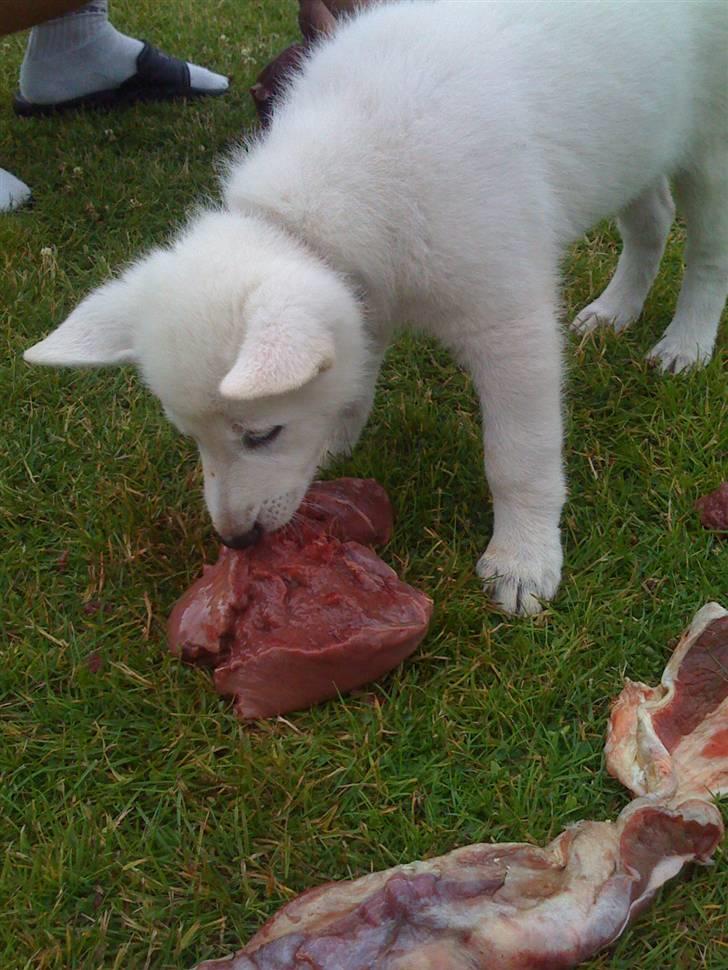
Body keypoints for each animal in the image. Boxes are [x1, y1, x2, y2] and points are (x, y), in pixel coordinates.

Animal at [24, 3, 728, 612]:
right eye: (190, 437)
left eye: (262, 434)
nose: (235, 541)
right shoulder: (367, 294)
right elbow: (356, 367)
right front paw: (341, 435)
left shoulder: (511, 330)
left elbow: (517, 457)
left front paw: (523, 560)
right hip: (635, 144)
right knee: (651, 218)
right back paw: (615, 311)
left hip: (707, 153)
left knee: (706, 255)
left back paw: (685, 343)